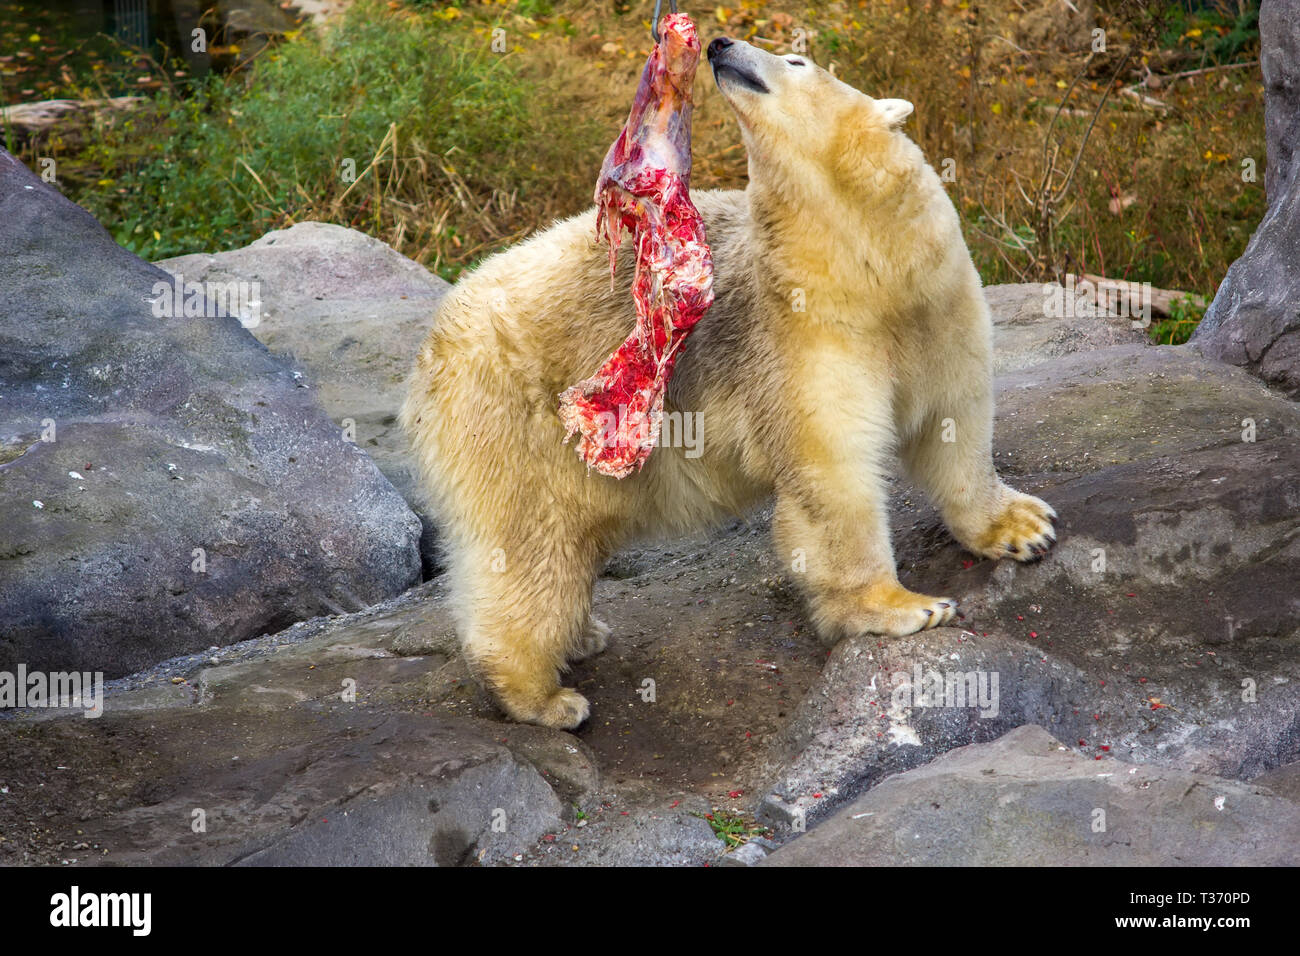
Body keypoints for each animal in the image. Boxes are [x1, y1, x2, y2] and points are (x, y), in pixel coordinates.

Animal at [400, 36, 1058, 730]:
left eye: (797, 61)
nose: (720, 44)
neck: (865, 262)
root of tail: (433, 346)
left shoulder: (938, 302)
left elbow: (955, 420)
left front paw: (1022, 526)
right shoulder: (801, 333)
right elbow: (834, 473)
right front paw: (908, 606)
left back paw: (580, 637)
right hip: (515, 419)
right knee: (528, 547)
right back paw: (545, 696)